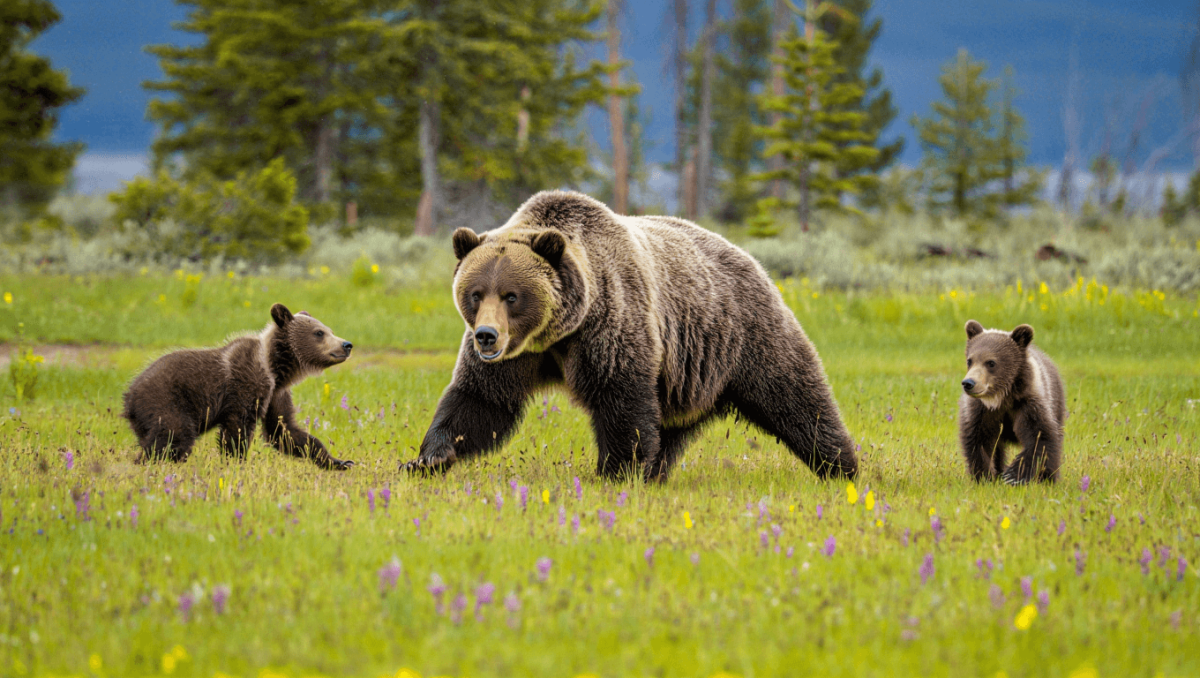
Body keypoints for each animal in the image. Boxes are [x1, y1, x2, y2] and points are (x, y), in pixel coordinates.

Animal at [122, 303, 354, 470]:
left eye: (329, 329)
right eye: (319, 333)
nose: (347, 345)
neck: (274, 367)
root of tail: (128, 395)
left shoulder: (276, 393)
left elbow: (284, 430)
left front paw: (340, 461)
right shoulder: (245, 384)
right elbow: (237, 427)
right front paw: (236, 462)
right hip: (166, 400)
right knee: (174, 435)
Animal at [401, 190, 858, 482]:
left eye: (512, 295)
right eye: (475, 293)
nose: (486, 336)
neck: (555, 333)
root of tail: (751, 258)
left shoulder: (608, 323)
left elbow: (620, 396)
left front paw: (615, 472)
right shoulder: (520, 356)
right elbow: (481, 398)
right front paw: (428, 459)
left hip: (744, 334)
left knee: (796, 397)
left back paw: (841, 466)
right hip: (684, 378)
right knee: (670, 428)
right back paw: (656, 472)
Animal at [958, 320, 1066, 484]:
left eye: (991, 362)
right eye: (970, 361)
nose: (968, 383)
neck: (1001, 399)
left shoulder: (1028, 405)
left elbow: (1040, 437)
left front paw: (1013, 475)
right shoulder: (981, 412)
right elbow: (978, 440)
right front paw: (985, 476)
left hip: (1056, 403)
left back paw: (1048, 478)